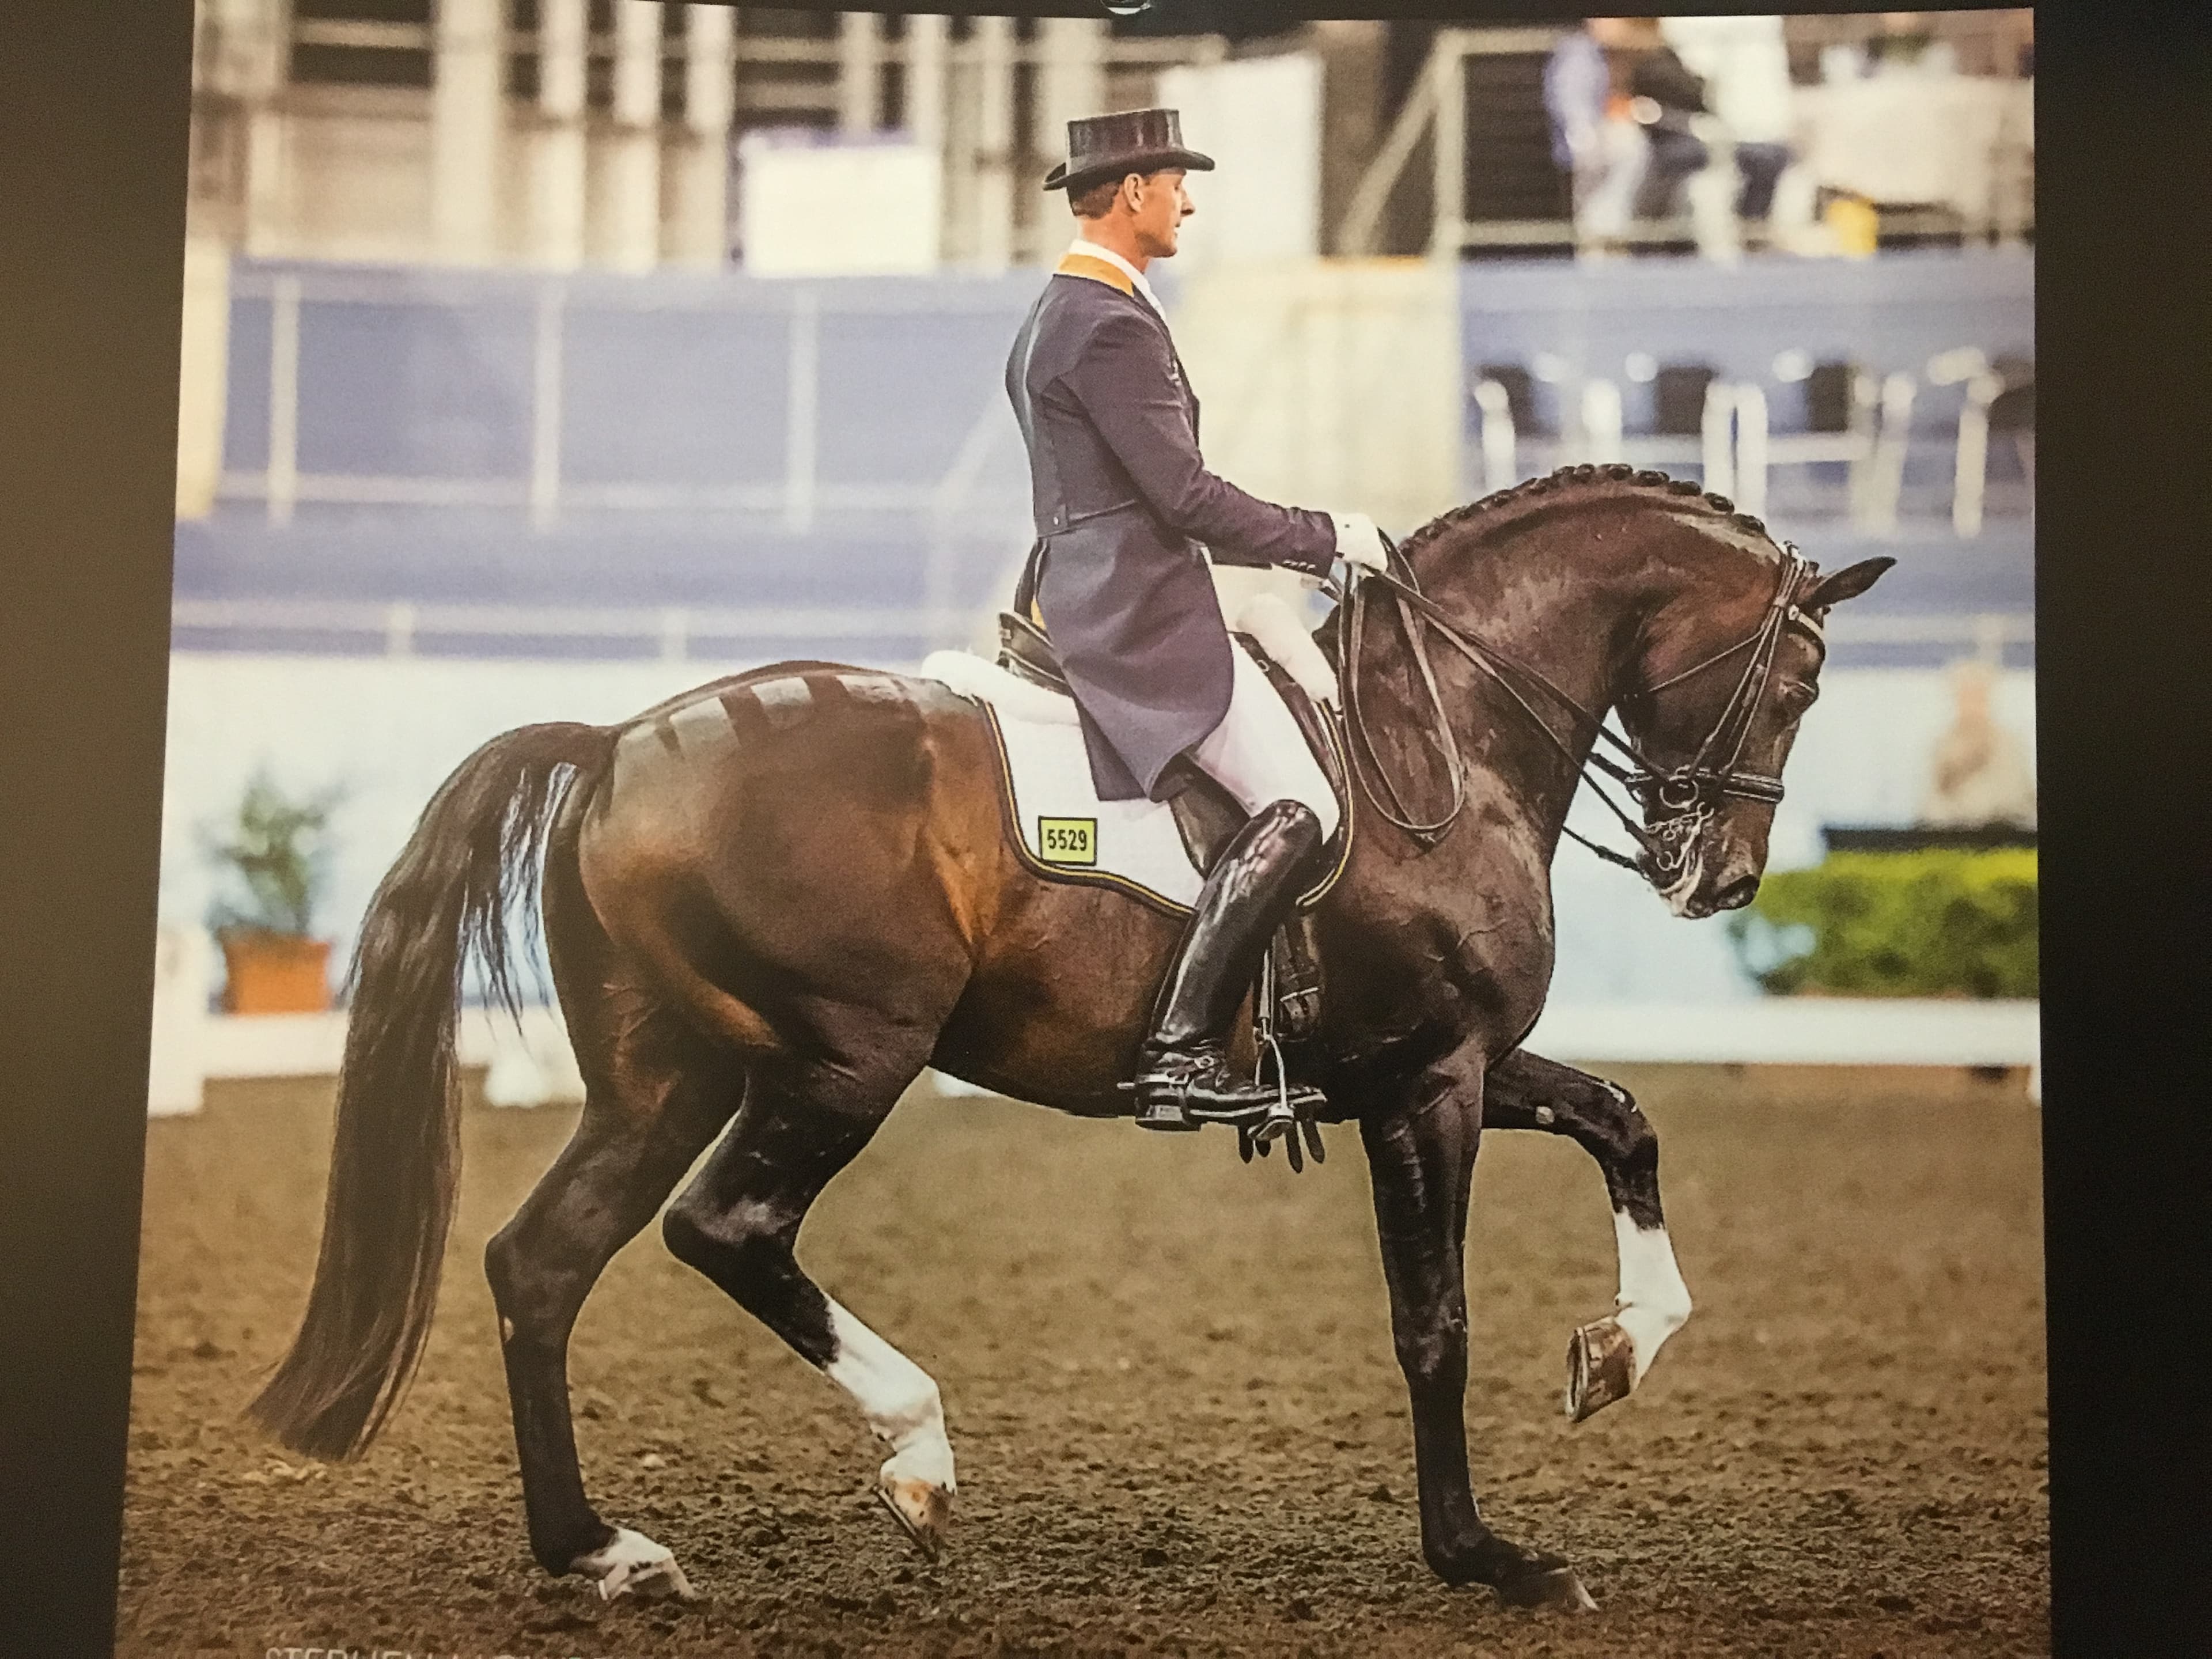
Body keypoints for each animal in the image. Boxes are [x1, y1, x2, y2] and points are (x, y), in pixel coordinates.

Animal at [246, 464, 1891, 1612]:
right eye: (1800, 680)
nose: (1718, 878)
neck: (1443, 736)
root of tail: (616, 744)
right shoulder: (1426, 1081)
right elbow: (1433, 1324)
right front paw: (1487, 1557)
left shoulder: (1445, 1064)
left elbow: (1623, 1117)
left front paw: (1617, 1352)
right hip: (842, 1057)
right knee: (726, 1229)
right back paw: (914, 1458)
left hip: (666, 1073)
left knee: (542, 1262)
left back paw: (602, 1552)